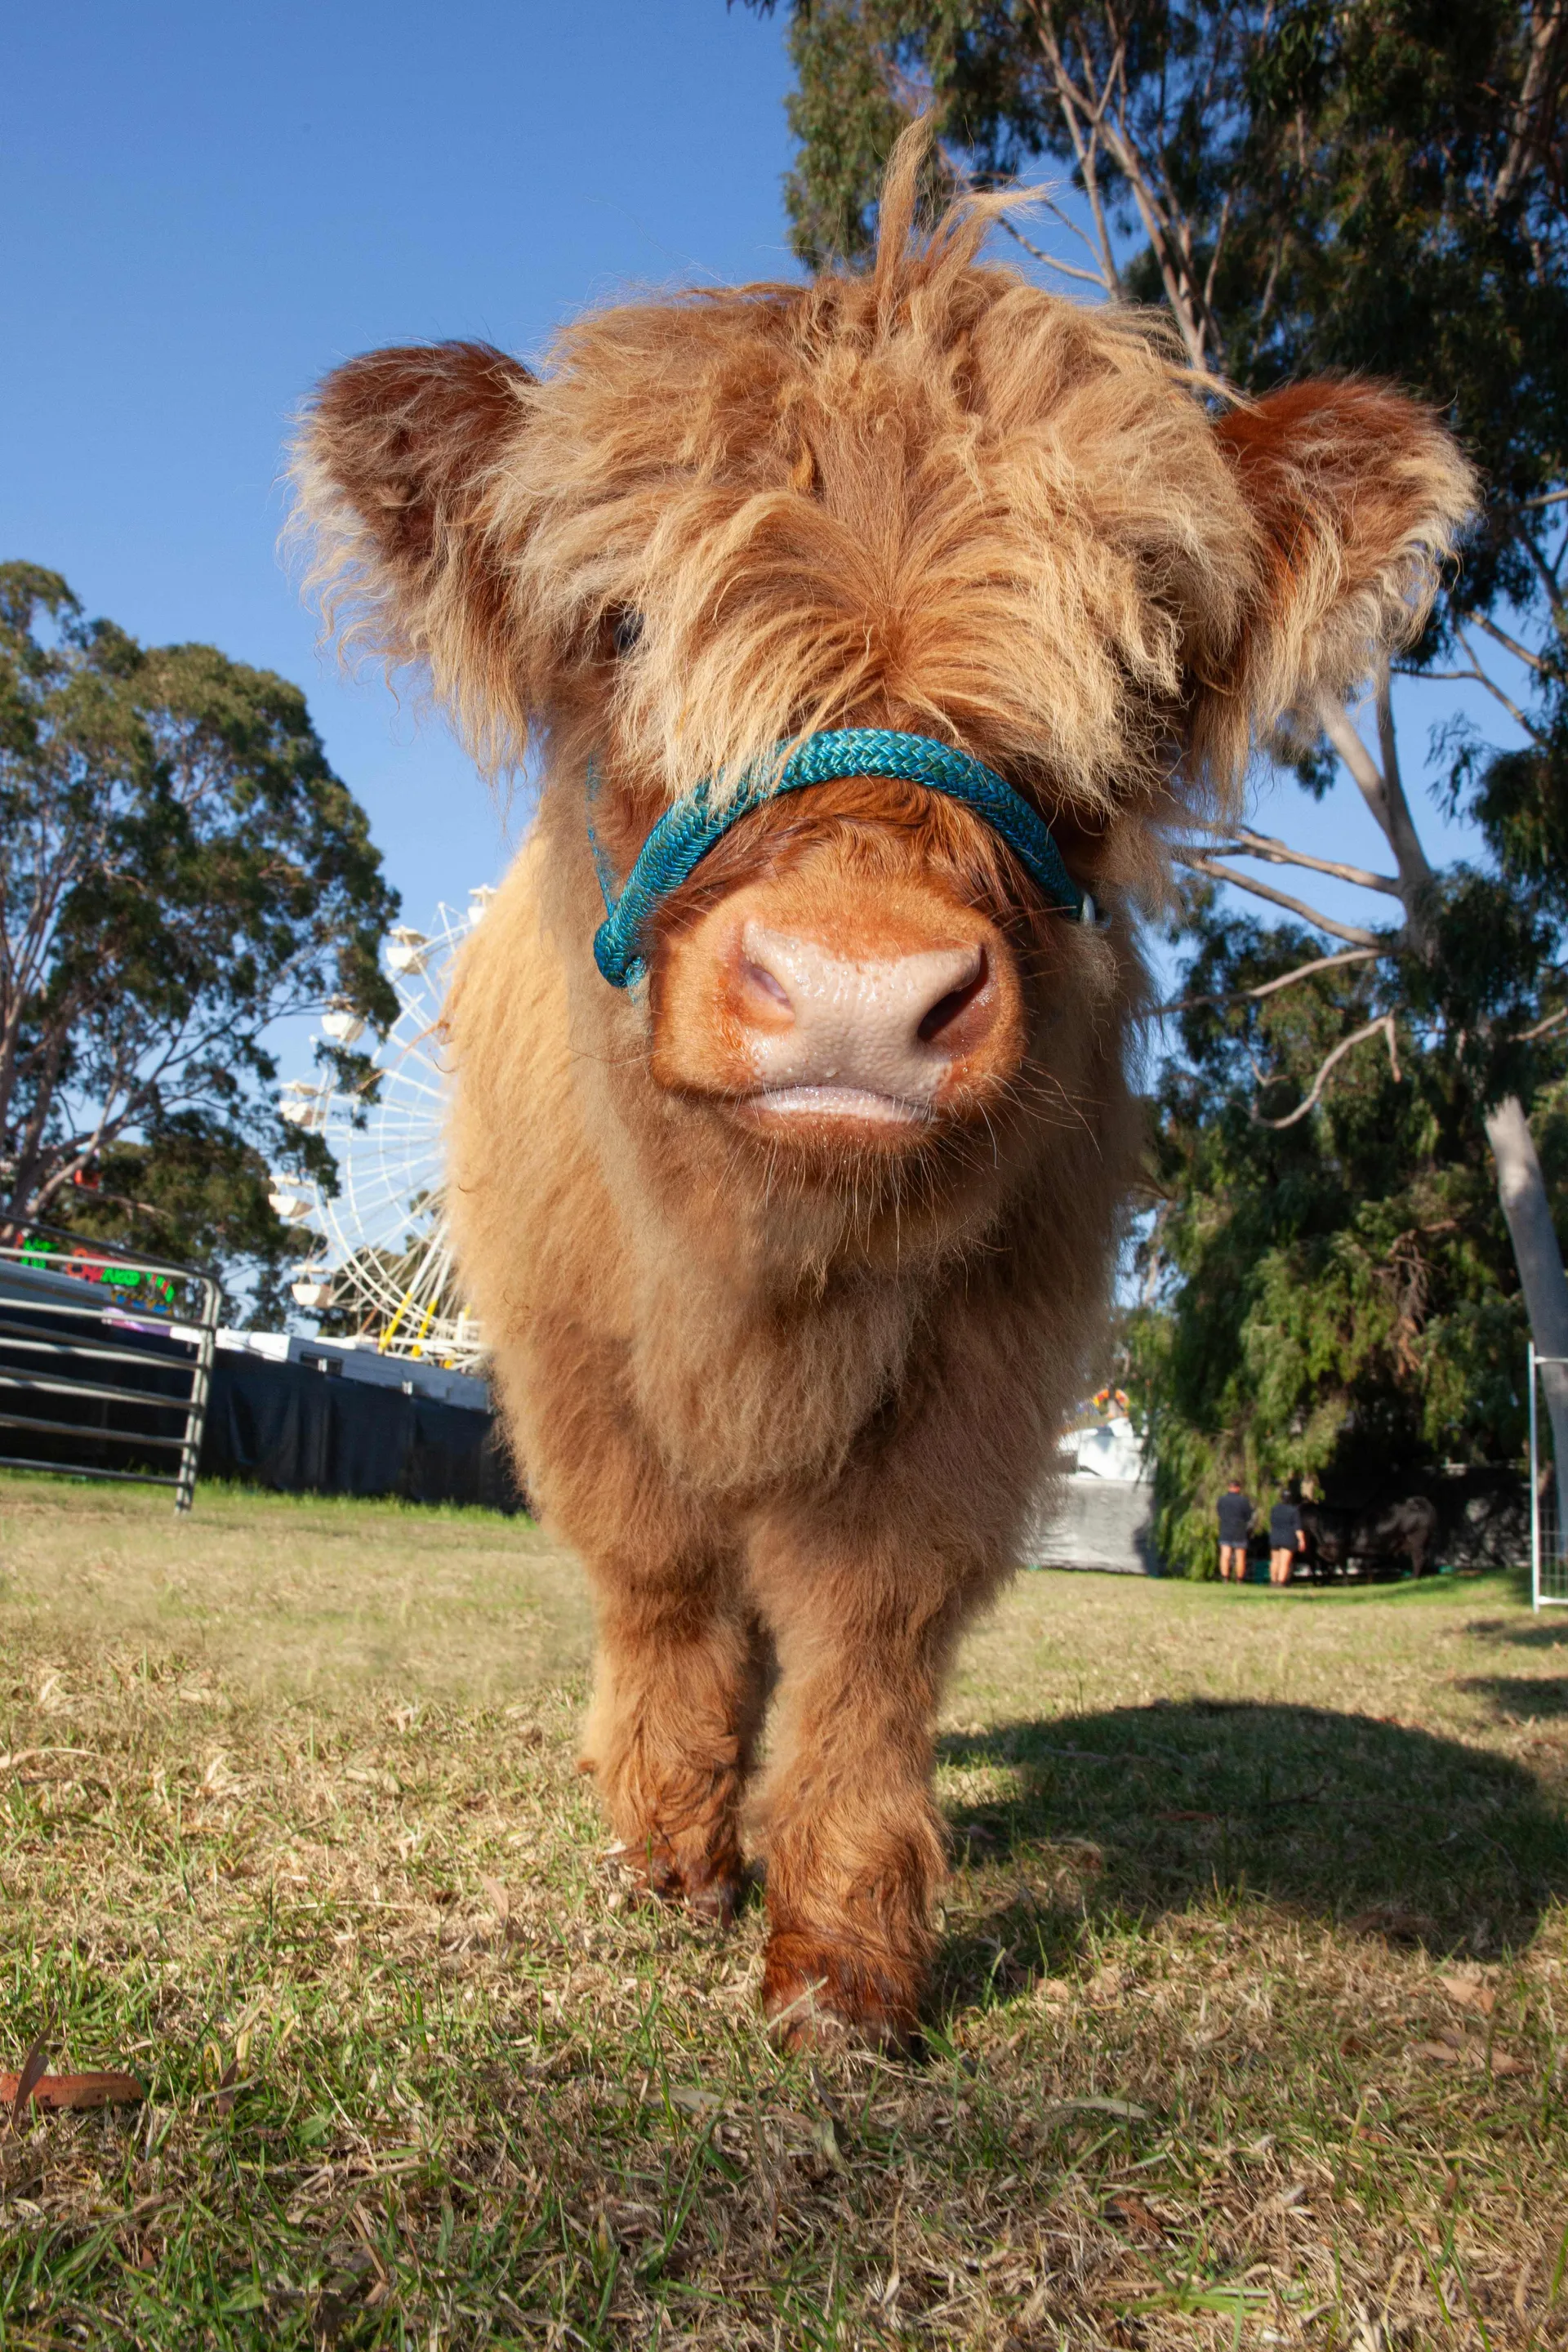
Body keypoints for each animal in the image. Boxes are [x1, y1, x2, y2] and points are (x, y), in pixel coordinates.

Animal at [291, 129, 1473, 2048]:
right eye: (623, 624)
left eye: (1137, 667)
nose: (856, 989)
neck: (766, 1275)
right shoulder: (568, 1358)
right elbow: (663, 1589)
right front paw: (668, 1851)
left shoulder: (985, 1367)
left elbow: (868, 1635)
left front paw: (839, 1961)